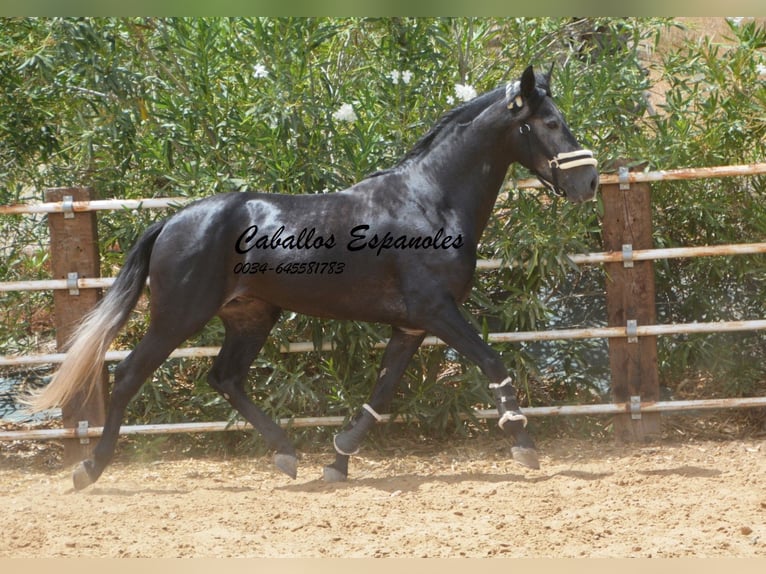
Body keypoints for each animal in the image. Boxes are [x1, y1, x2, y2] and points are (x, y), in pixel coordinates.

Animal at [28, 67, 600, 490]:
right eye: (551, 122)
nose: (589, 181)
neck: (429, 199)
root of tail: (172, 221)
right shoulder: (438, 311)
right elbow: (492, 361)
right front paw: (524, 445)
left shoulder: (412, 325)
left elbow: (382, 392)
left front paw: (338, 459)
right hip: (178, 317)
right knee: (129, 375)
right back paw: (89, 470)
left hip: (252, 316)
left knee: (225, 377)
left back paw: (286, 455)